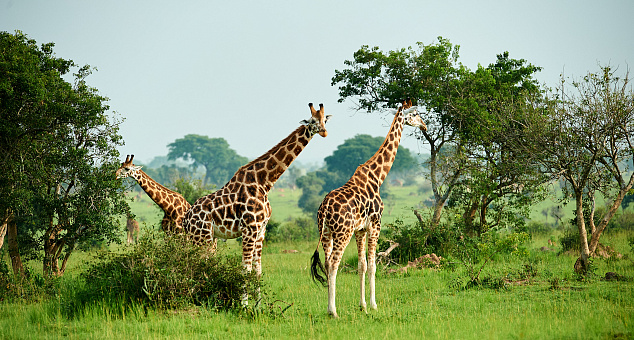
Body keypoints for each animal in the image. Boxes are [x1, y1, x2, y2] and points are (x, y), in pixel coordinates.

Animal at [183, 102, 330, 304]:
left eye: (325, 120)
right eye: (312, 121)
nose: (324, 132)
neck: (264, 182)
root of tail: (186, 218)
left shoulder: (261, 231)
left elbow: (257, 270)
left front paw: (258, 304)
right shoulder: (249, 229)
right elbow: (245, 270)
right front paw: (244, 305)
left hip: (206, 238)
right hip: (201, 237)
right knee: (194, 264)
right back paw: (195, 298)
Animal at [310, 99, 424, 318]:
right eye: (415, 114)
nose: (424, 126)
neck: (378, 176)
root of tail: (325, 208)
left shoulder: (360, 229)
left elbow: (361, 265)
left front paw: (362, 305)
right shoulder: (375, 225)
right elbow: (372, 265)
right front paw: (373, 305)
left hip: (326, 232)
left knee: (327, 264)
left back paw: (329, 309)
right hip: (342, 232)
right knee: (334, 263)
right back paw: (333, 311)